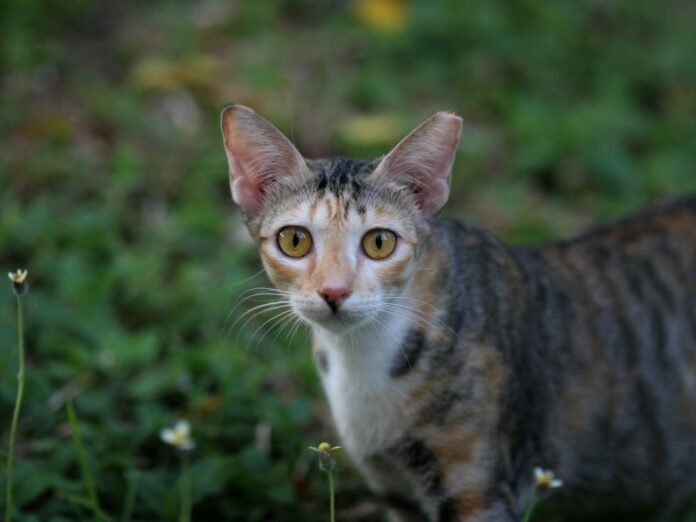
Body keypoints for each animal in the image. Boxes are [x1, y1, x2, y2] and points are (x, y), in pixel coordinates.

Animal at [219, 105, 696, 520]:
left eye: (379, 242)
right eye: (295, 240)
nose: (334, 290)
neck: (364, 362)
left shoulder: (476, 490)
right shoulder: (397, 491)